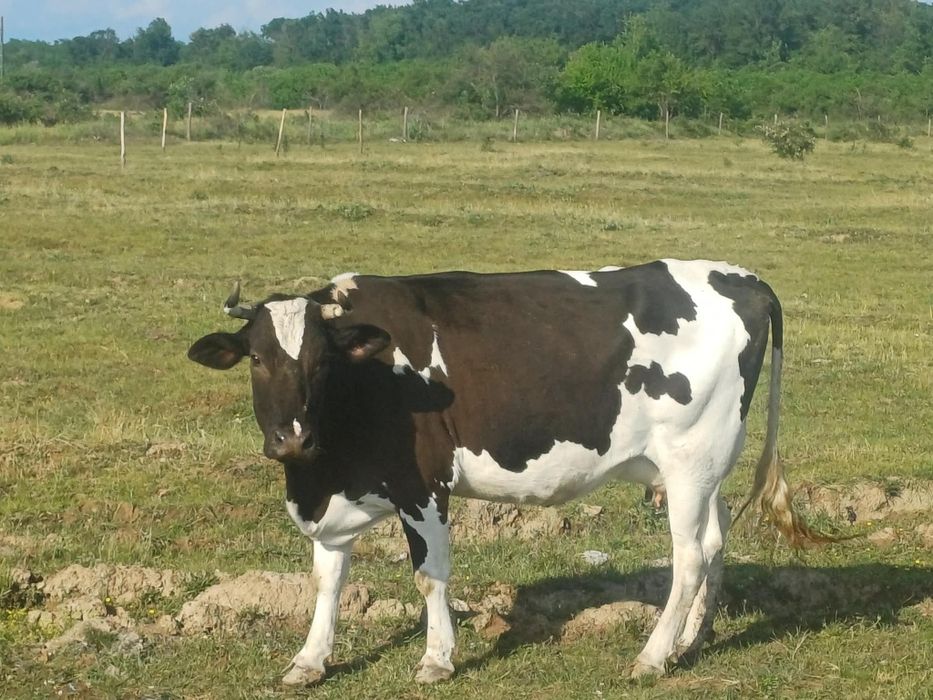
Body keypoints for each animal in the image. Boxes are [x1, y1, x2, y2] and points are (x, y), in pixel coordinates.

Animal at [187, 259, 822, 685]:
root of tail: (742, 277)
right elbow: (327, 579)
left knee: (688, 557)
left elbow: (429, 576)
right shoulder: (336, 494)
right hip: (702, 466)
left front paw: (436, 658)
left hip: (694, 458)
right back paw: (692, 640)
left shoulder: (424, 484)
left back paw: (651, 656)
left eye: (321, 361)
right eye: (257, 358)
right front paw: (310, 659)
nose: (292, 439)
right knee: (715, 539)